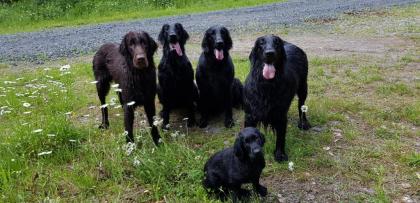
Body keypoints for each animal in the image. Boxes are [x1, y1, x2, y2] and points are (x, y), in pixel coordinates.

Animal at [244, 34, 310, 162]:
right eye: (261, 43)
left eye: (277, 43)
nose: (270, 53)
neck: (266, 85)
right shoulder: (250, 115)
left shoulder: (280, 115)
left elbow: (280, 137)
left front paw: (280, 154)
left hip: (303, 87)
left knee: (302, 105)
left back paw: (304, 123)